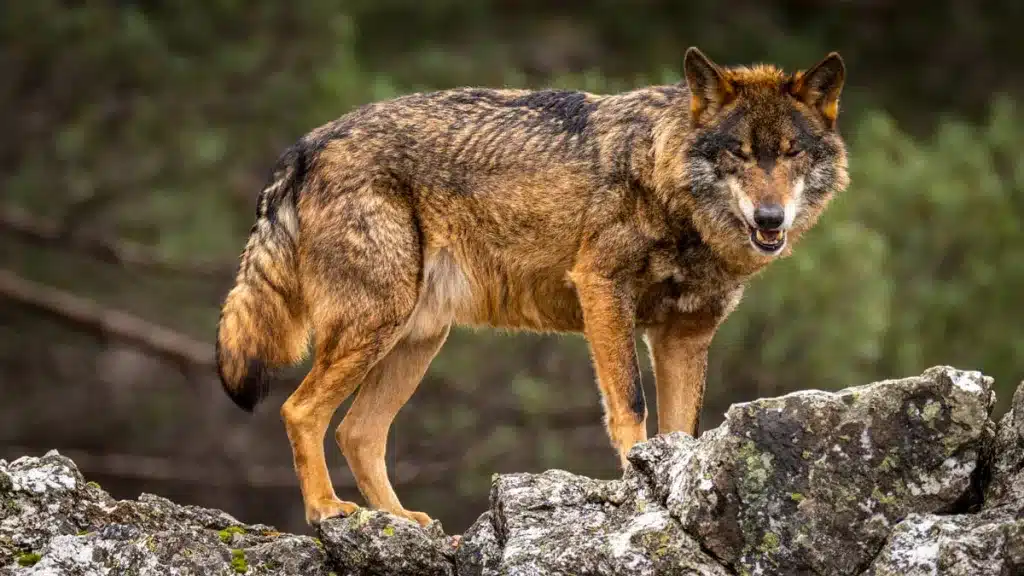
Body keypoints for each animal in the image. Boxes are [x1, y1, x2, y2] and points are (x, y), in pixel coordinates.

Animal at [215, 47, 850, 527]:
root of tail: (307, 144)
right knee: (300, 411)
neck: (663, 179)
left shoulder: (684, 337)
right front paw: (636, 490)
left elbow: (682, 432)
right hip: (376, 327)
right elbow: (631, 406)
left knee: (358, 433)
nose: (770, 218)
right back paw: (326, 510)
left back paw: (402, 522)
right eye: (738, 154)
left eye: (791, 153)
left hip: (415, 342)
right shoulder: (602, 291)